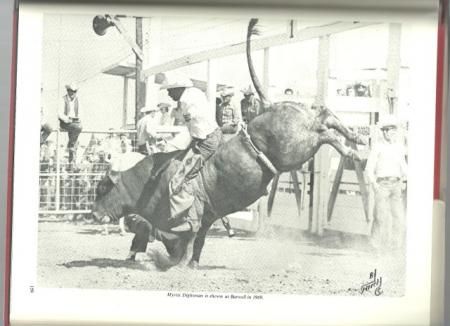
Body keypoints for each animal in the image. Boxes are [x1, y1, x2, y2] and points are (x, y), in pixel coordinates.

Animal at [91, 17, 366, 270]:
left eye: (103, 188)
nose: (94, 213)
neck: (148, 181)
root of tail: (270, 106)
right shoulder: (207, 216)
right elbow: (197, 241)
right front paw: (192, 264)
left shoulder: (188, 216)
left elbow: (186, 240)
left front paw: (177, 265)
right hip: (301, 137)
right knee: (326, 116)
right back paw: (356, 139)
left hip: (297, 147)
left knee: (325, 132)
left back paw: (354, 151)